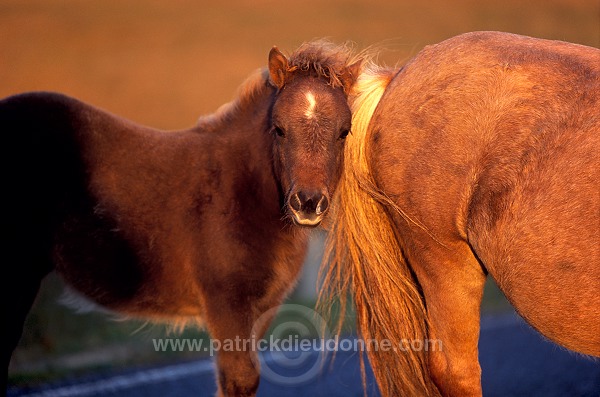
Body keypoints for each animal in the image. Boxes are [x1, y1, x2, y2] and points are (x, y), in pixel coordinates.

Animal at [2, 40, 360, 396]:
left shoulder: (261, 310)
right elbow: (239, 379)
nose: (308, 203)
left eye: (344, 132)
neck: (239, 190)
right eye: (279, 129)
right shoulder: (226, 305)